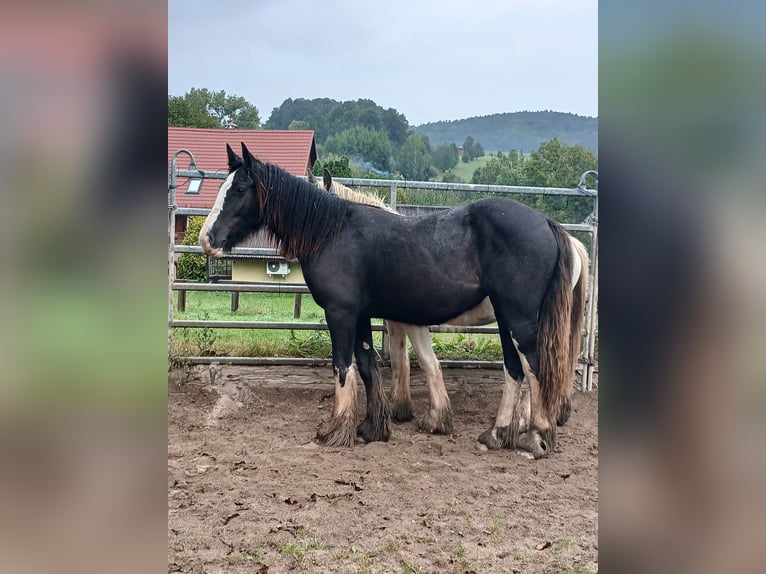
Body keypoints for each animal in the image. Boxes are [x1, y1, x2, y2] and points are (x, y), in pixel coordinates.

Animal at [316, 171, 592, 436]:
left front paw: (419, 413)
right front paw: (403, 408)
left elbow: (416, 360)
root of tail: (556, 230)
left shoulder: (407, 320)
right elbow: (402, 358)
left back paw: (525, 422)